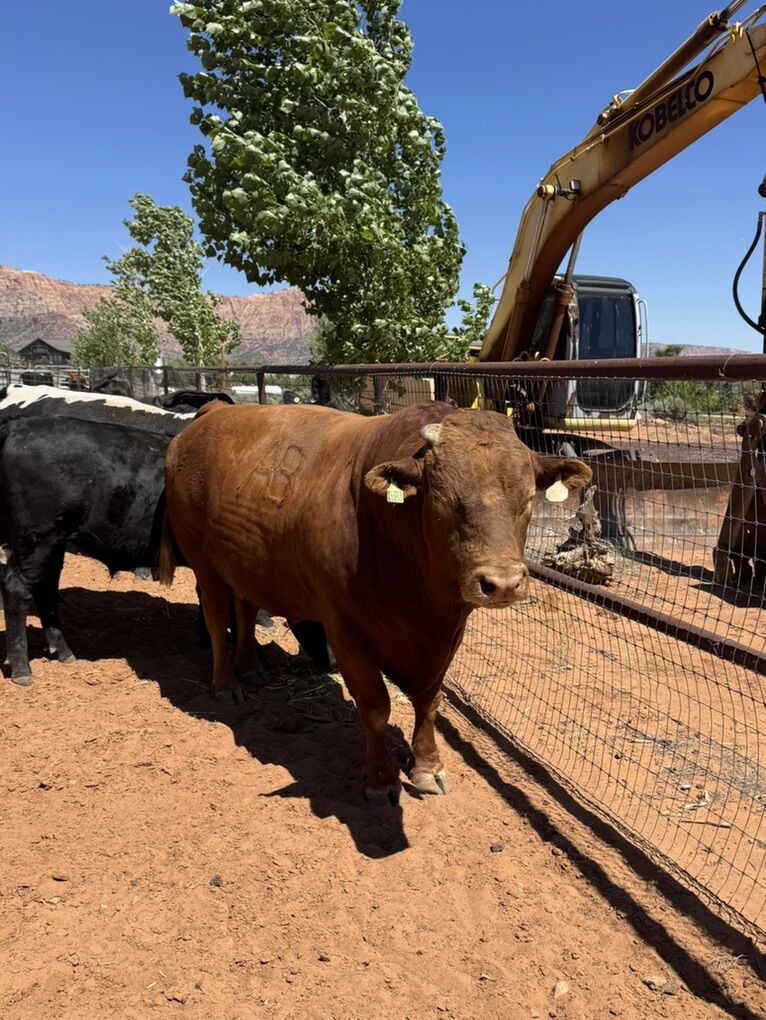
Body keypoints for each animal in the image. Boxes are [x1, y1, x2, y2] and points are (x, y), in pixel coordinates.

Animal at [158, 401, 591, 801]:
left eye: (528, 499)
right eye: (443, 500)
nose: (502, 583)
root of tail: (213, 411)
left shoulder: (447, 635)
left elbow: (429, 701)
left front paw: (428, 767)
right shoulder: (347, 632)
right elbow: (376, 706)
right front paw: (380, 778)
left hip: (243, 562)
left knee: (246, 610)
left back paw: (250, 669)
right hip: (204, 563)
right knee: (217, 620)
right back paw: (226, 684)